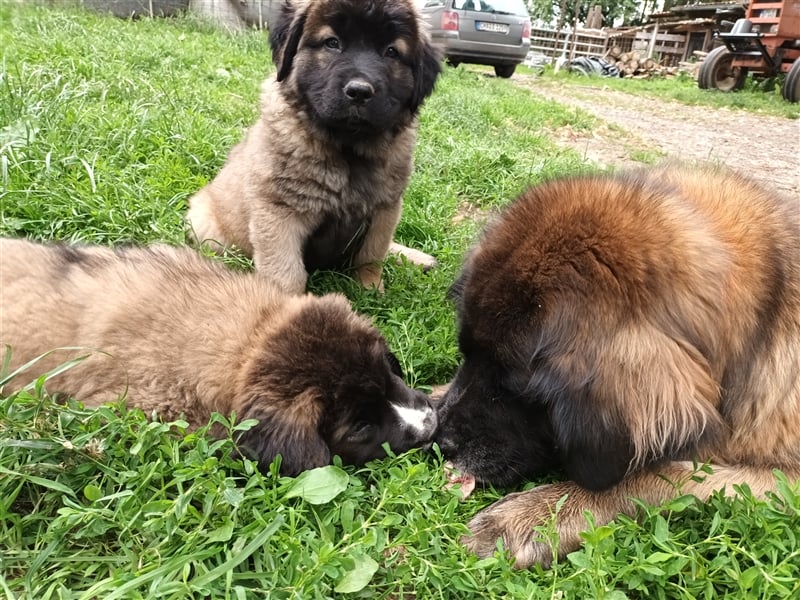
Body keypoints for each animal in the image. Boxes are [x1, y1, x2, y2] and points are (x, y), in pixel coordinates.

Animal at [185, 0, 440, 292]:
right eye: (332, 43)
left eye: (391, 52)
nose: (360, 91)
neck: (347, 149)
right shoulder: (279, 211)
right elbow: (286, 272)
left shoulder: (385, 209)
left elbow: (372, 254)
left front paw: (371, 288)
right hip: (203, 223)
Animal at [434, 163, 800, 568]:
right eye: (467, 355)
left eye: (510, 387)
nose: (440, 442)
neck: (761, 325)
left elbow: (664, 475)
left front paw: (535, 515)